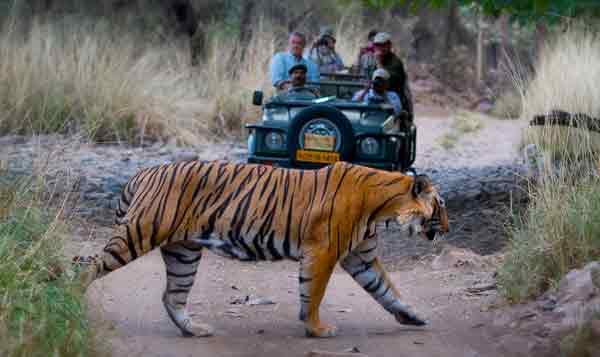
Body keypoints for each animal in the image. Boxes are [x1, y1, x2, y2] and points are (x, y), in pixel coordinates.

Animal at [74, 160, 446, 338]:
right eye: (440, 206)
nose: (447, 228)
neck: (382, 205)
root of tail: (143, 172)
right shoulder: (323, 251)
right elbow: (313, 294)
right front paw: (317, 329)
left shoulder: (362, 257)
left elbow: (387, 289)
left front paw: (413, 316)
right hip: (139, 233)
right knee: (86, 265)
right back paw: (72, 303)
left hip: (184, 252)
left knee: (172, 296)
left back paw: (195, 330)